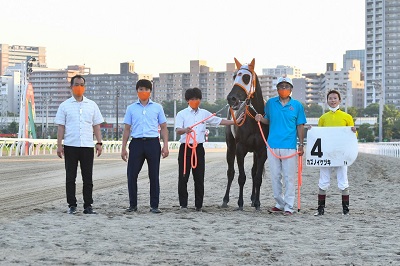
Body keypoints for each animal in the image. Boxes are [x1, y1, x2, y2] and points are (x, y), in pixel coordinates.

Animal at [222, 57, 268, 210]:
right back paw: (225, 200)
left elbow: (258, 177)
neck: (255, 119)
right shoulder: (240, 149)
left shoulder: (262, 150)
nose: (231, 98)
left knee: (253, 172)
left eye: (247, 77)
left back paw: (253, 199)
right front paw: (240, 203)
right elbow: (241, 177)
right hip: (230, 146)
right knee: (230, 172)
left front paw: (257, 203)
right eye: (234, 76)